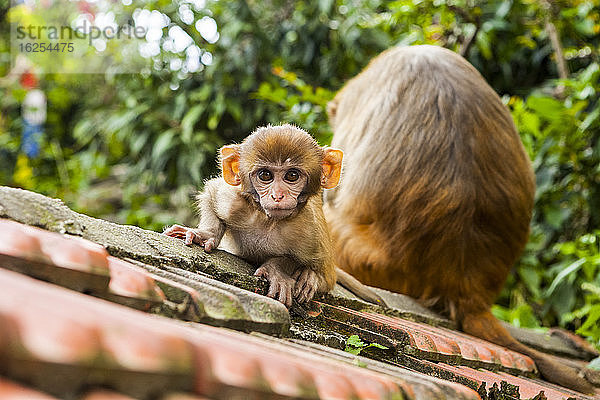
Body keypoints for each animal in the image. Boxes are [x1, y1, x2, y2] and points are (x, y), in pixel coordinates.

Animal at [163, 125, 380, 306]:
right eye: (265, 175)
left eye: (292, 175)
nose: (277, 195)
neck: (269, 221)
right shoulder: (234, 203)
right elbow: (212, 193)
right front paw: (204, 234)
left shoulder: (309, 231)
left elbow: (320, 273)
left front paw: (278, 270)